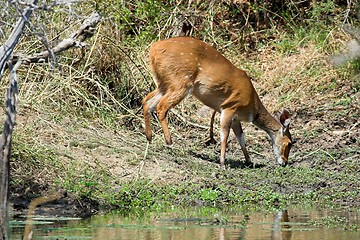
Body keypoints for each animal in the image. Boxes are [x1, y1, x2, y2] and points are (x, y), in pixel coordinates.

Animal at [141, 36, 292, 166]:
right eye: (290, 143)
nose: (284, 162)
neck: (252, 107)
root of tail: (153, 49)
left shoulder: (236, 118)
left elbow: (241, 137)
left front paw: (249, 161)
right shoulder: (229, 106)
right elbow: (224, 134)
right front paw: (222, 162)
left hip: (165, 83)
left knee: (146, 101)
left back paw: (149, 137)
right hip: (180, 82)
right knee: (161, 106)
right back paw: (169, 141)